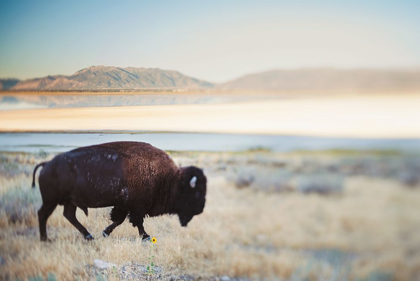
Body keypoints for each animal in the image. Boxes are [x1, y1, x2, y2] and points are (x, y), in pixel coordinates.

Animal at [31, 141, 207, 240]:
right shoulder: (136, 207)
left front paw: (105, 233)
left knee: (69, 216)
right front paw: (146, 237)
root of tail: (47, 164)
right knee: (43, 214)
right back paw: (45, 239)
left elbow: (119, 220)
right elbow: (136, 222)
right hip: (51, 201)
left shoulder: (124, 205)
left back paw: (88, 236)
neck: (169, 179)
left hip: (70, 201)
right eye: (196, 193)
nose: (200, 209)